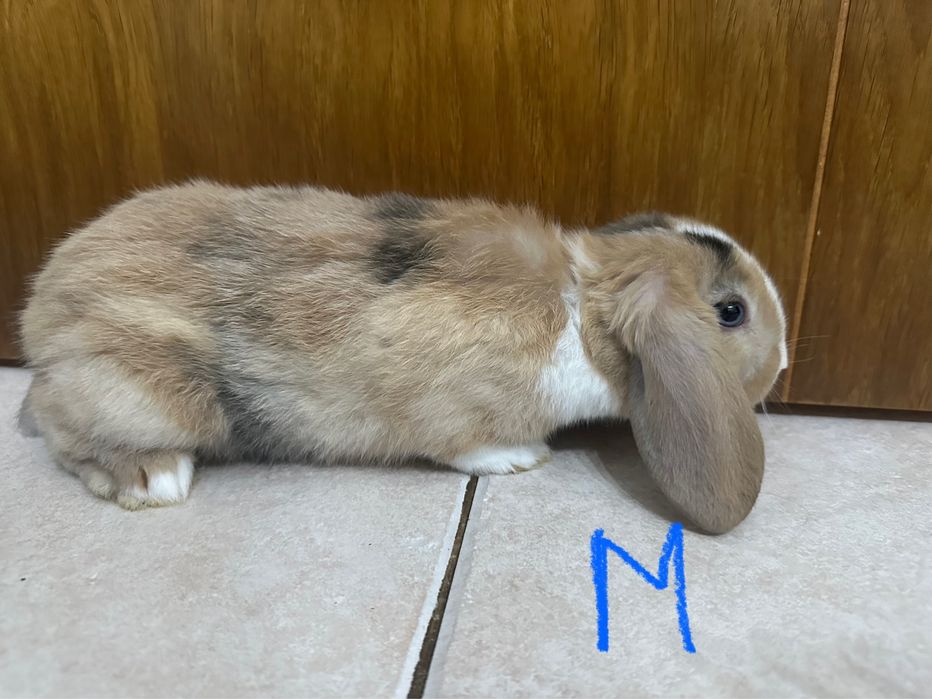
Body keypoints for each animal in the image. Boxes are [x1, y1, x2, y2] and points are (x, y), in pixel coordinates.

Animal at [19, 181, 787, 533]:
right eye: (731, 312)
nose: (783, 363)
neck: (584, 303)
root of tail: (40, 315)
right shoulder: (459, 406)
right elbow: (466, 444)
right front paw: (522, 459)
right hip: (138, 397)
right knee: (66, 436)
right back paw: (154, 478)